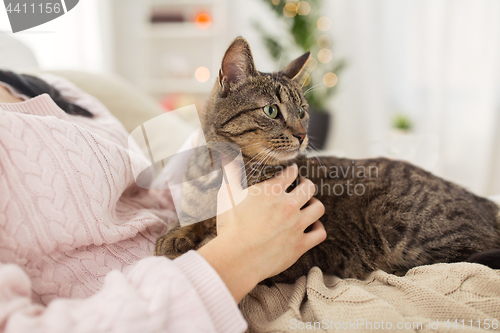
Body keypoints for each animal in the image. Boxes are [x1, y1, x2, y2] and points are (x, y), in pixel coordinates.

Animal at [154, 37, 498, 282]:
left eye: (302, 111)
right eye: (271, 110)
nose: (303, 134)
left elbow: (213, 242)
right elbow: (188, 220)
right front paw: (176, 235)